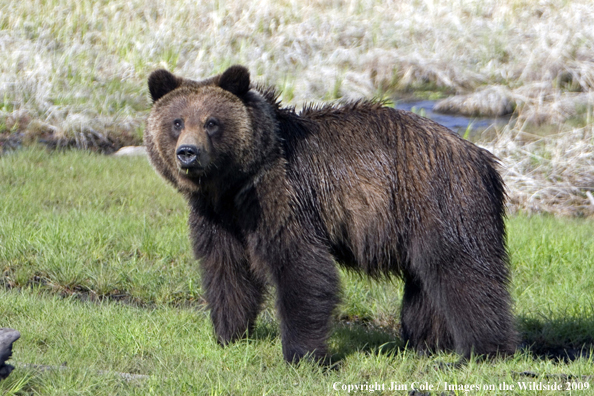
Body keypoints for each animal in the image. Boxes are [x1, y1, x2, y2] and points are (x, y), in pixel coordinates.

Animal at [146, 65, 516, 362]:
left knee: (463, 273)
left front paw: (302, 354)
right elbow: (225, 269)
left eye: (211, 123)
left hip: (441, 201)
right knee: (426, 284)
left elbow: (302, 269)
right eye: (177, 121)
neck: (235, 184)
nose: (188, 153)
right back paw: (427, 343)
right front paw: (229, 334)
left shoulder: (284, 198)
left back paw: (484, 350)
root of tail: (485, 159)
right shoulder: (219, 217)